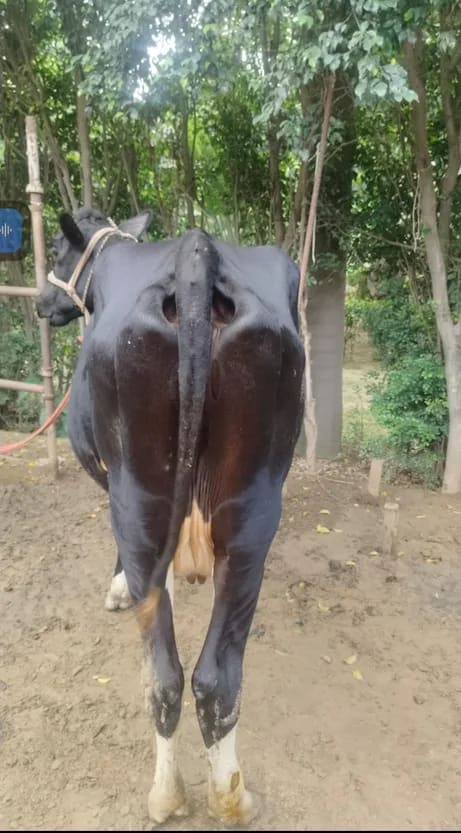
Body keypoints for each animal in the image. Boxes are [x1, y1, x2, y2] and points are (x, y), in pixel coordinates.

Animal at [36, 207, 305, 826]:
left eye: (59, 250)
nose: (39, 303)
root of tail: (197, 251)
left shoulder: (104, 477)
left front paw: (119, 589)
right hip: (254, 511)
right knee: (217, 677)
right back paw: (230, 796)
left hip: (138, 499)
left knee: (163, 676)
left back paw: (167, 794)